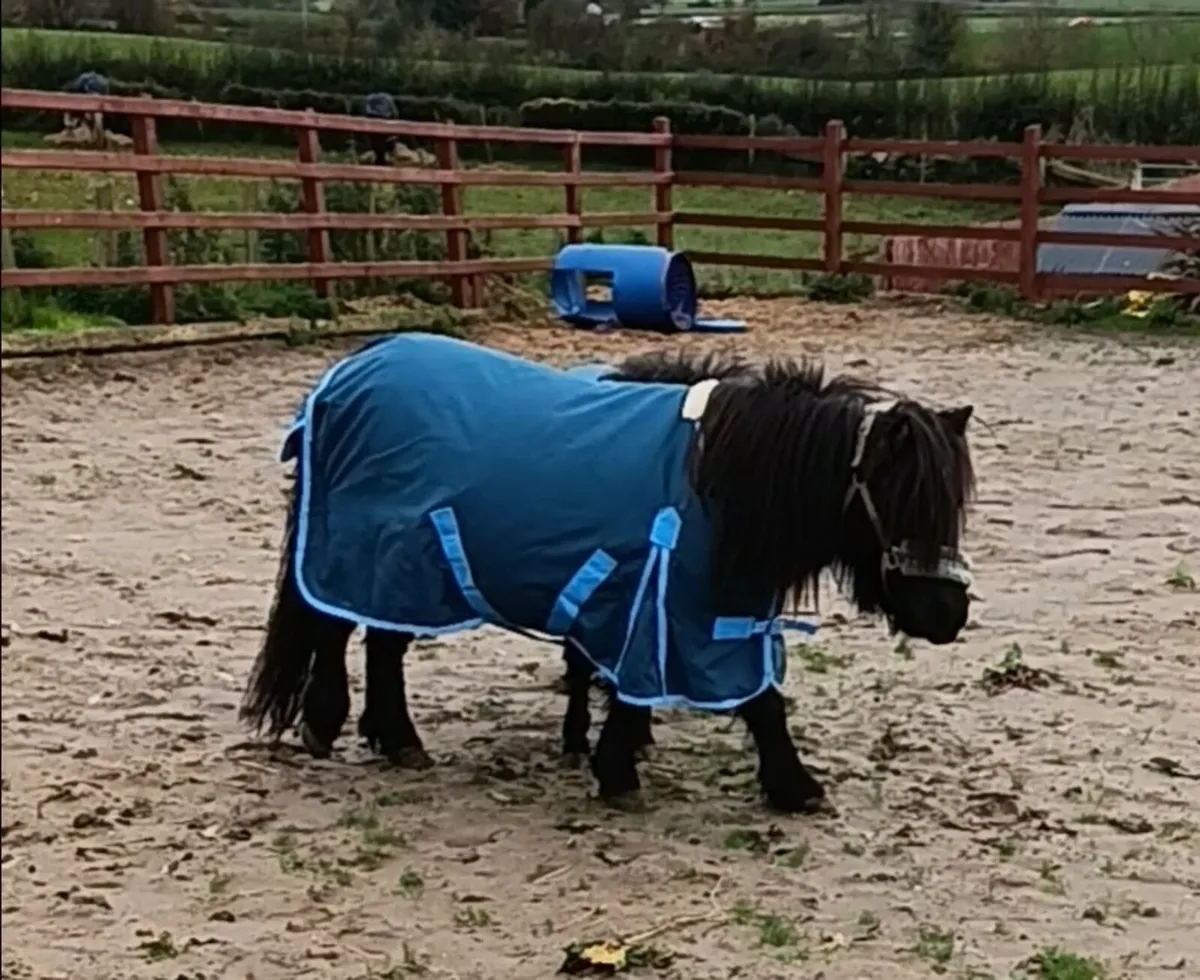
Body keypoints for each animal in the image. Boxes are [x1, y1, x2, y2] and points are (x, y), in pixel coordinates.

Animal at [240, 335, 975, 813]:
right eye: (906, 503)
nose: (950, 615)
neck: (718, 480)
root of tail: (342, 379)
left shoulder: (684, 610)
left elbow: (654, 692)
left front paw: (619, 761)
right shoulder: (670, 606)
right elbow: (753, 700)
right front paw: (793, 787)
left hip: (411, 566)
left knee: (378, 641)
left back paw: (388, 738)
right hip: (378, 550)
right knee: (341, 629)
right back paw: (341, 727)